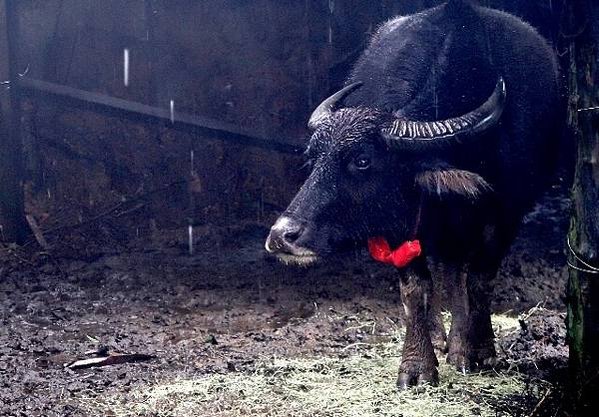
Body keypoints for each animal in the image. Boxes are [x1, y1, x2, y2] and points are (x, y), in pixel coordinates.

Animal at [264, 0, 560, 386]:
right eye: (314, 158)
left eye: (362, 160)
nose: (282, 235)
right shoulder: (400, 224)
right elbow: (415, 290)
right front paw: (418, 365)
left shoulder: (508, 213)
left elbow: (480, 279)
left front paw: (479, 350)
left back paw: (459, 343)